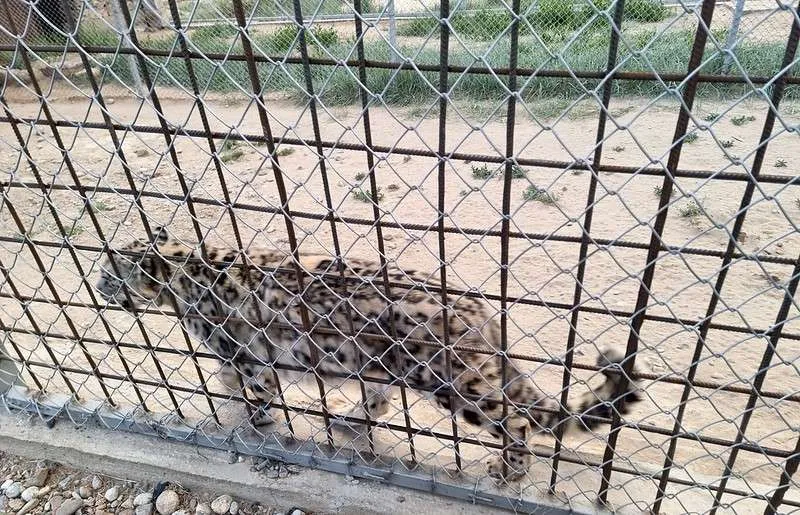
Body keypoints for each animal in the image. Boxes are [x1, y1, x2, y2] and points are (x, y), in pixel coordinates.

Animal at [94, 227, 643, 482]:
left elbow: (254, 391)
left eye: (108, 273)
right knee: (379, 401)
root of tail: (480, 310)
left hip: (449, 383)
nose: (95, 288)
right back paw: (348, 422)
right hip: (381, 366)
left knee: (515, 420)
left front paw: (256, 422)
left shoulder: (247, 356)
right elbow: (231, 381)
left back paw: (509, 470)